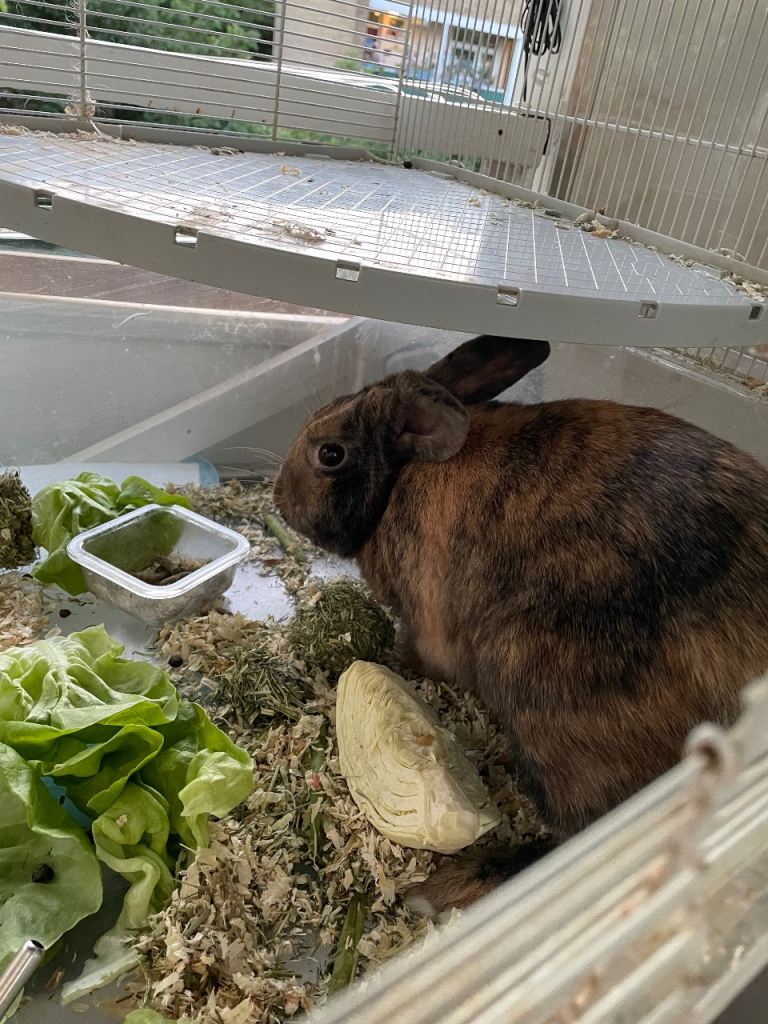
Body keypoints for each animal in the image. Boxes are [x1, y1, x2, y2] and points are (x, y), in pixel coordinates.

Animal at [273, 335, 768, 915]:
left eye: (330, 454)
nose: (279, 499)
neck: (401, 476)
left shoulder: (424, 624)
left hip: (536, 687)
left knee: (577, 838)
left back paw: (446, 887)